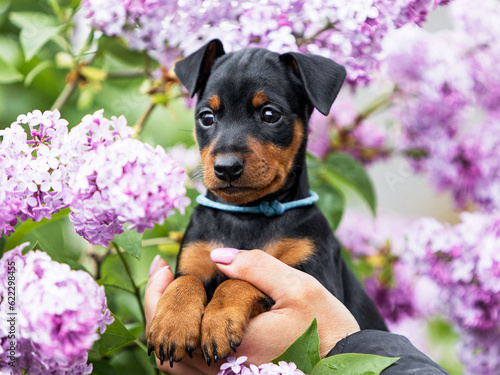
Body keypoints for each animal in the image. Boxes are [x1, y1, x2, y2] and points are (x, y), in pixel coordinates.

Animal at [148, 39, 386, 368]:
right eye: (206, 117)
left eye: (270, 114)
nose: (226, 168)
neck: (248, 215)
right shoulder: (194, 259)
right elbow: (183, 282)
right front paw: (172, 323)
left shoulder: (313, 278)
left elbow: (242, 282)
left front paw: (219, 319)